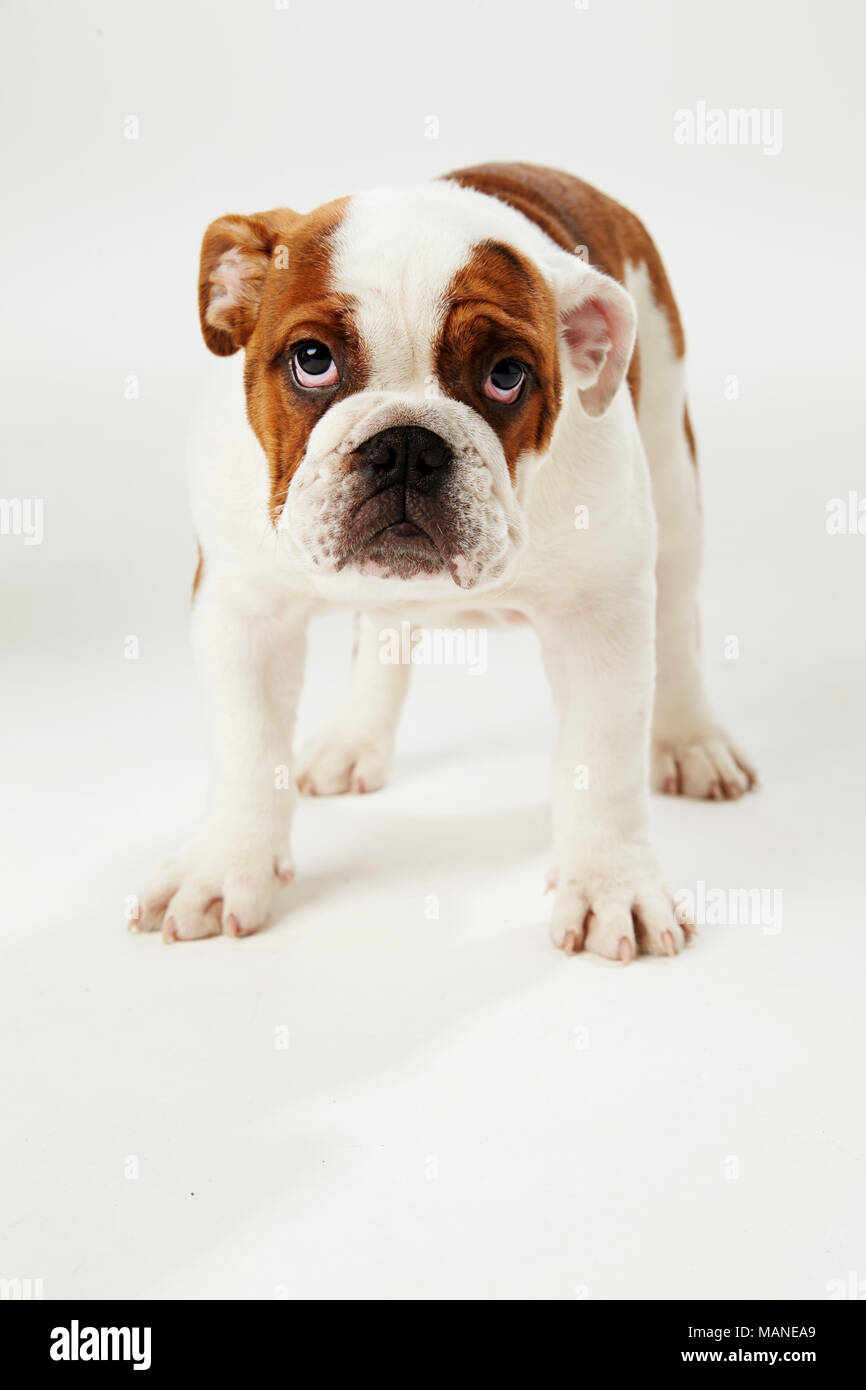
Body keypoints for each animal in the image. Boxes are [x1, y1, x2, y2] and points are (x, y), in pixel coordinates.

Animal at [132, 162, 756, 961]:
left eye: (507, 375)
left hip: (675, 487)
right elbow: (246, 747)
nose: (406, 444)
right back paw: (353, 738)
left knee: (676, 623)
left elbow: (604, 760)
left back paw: (692, 741)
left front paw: (611, 886)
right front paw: (222, 868)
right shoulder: (244, 609)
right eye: (312, 361)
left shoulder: (601, 614)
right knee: (382, 635)